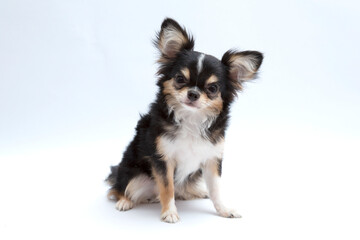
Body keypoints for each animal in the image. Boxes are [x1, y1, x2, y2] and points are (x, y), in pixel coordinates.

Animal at [105, 17, 262, 223]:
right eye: (180, 78)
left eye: (212, 88)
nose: (193, 93)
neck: (191, 119)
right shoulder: (163, 160)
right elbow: (167, 188)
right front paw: (169, 212)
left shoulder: (212, 160)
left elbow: (216, 189)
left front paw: (224, 209)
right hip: (134, 175)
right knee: (119, 188)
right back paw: (125, 201)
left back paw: (196, 192)